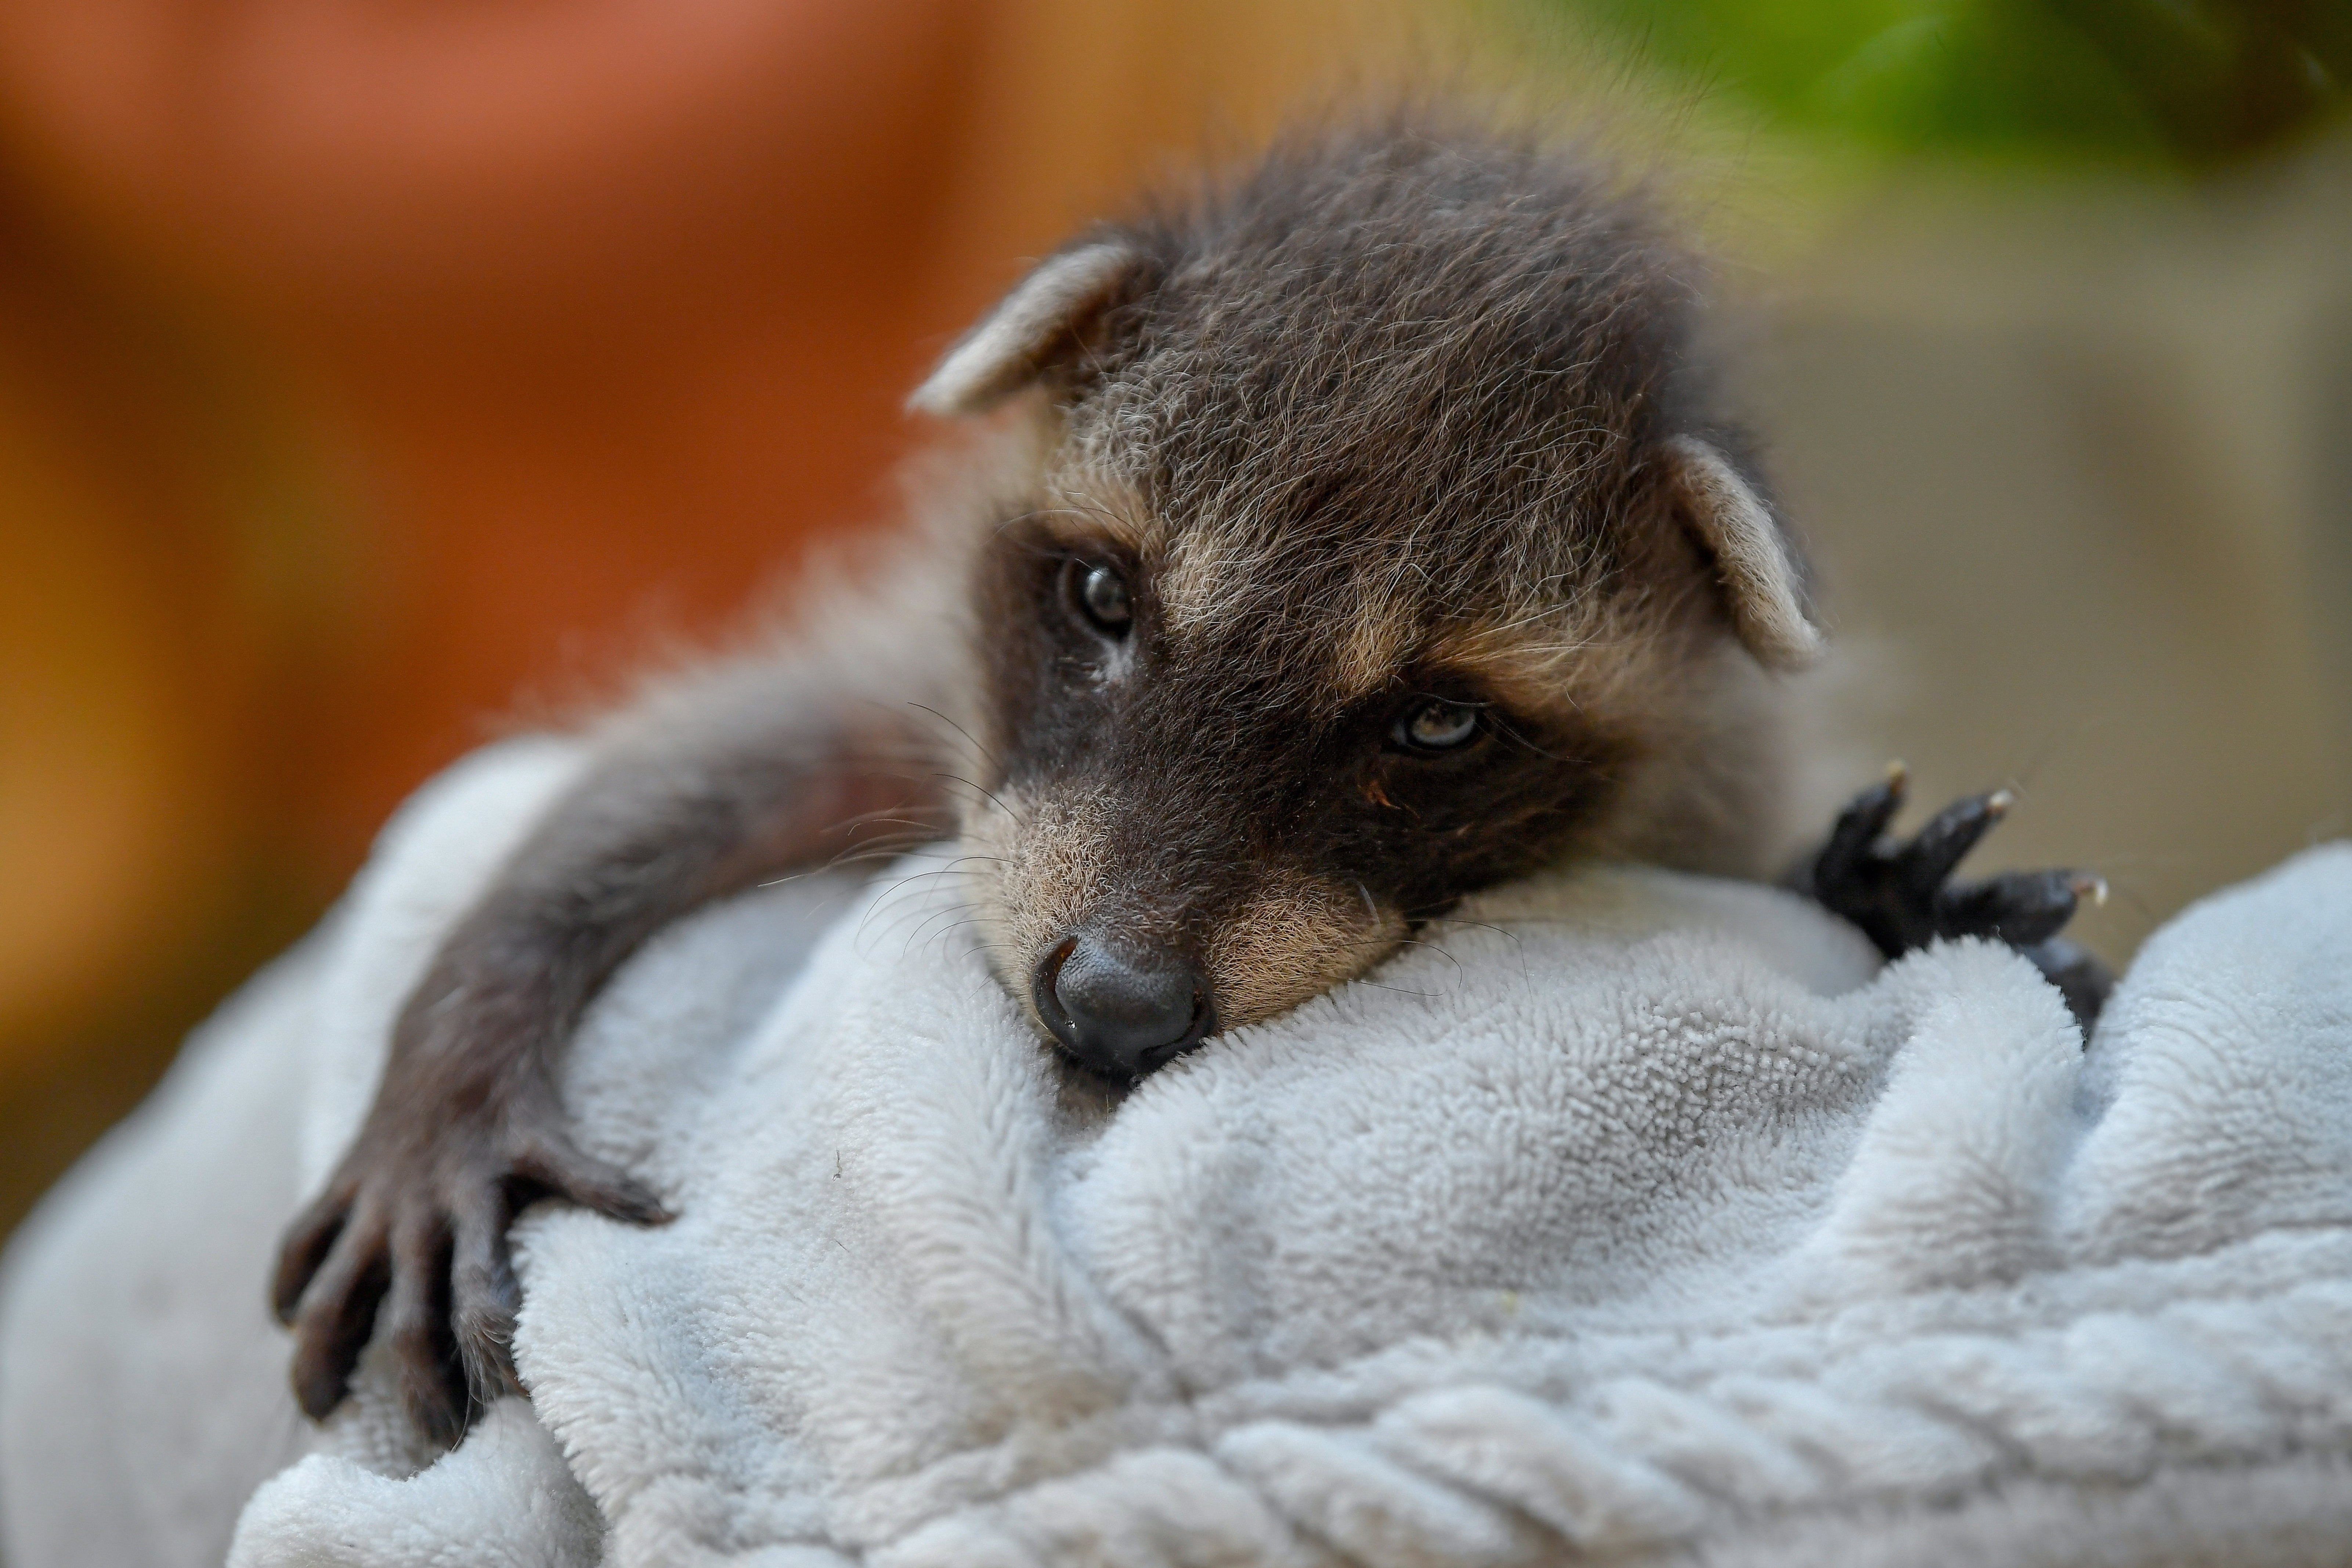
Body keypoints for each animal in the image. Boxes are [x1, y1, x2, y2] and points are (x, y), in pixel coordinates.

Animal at [267, 120, 2107, 1448]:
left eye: (1433, 729)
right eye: (1102, 598)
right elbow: (685, 771)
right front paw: (465, 1031)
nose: (1112, 1003)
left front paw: (1872, 890)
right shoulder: (940, 699)